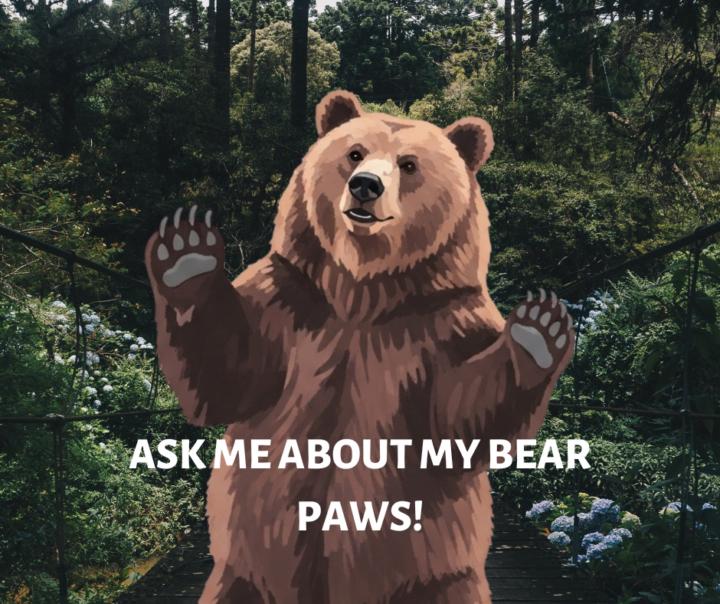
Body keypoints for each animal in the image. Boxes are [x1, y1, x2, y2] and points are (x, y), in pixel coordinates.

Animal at [145, 90, 574, 604]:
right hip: (245, 572)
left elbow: (460, 417)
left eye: (408, 165)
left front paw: (539, 329)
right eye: (354, 152)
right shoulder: (293, 301)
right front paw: (186, 251)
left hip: (439, 575)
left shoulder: (442, 325)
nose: (365, 185)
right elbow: (232, 379)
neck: (363, 291)